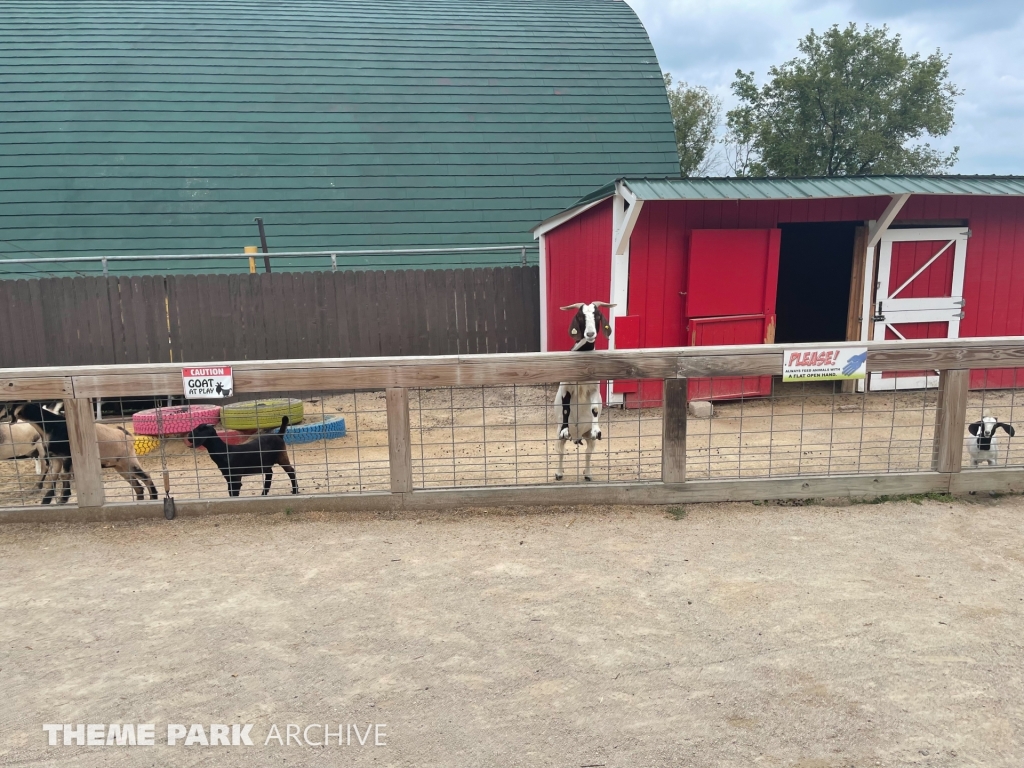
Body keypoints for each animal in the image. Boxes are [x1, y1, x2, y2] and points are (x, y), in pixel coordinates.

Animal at [557, 301, 610, 481]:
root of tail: (577, 436)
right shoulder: (566, 387)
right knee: (560, 450)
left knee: (588, 452)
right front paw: (565, 429)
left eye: (598, 315)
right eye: (580, 316)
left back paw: (587, 474)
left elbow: (594, 408)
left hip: (589, 439)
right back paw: (559, 473)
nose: (590, 333)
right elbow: (566, 408)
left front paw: (597, 428)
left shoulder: (593, 388)